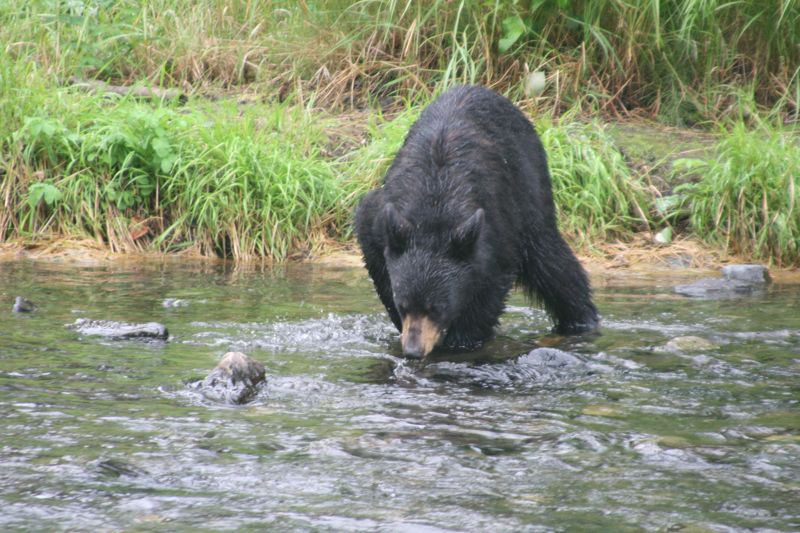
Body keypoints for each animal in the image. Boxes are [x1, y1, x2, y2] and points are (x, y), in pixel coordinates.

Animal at [354, 84, 592, 358]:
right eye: (403, 305)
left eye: (437, 308)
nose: (413, 350)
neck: (434, 203)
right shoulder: (381, 219)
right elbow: (376, 258)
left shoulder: (495, 229)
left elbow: (490, 287)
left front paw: (459, 340)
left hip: (531, 192)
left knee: (552, 264)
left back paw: (582, 320)